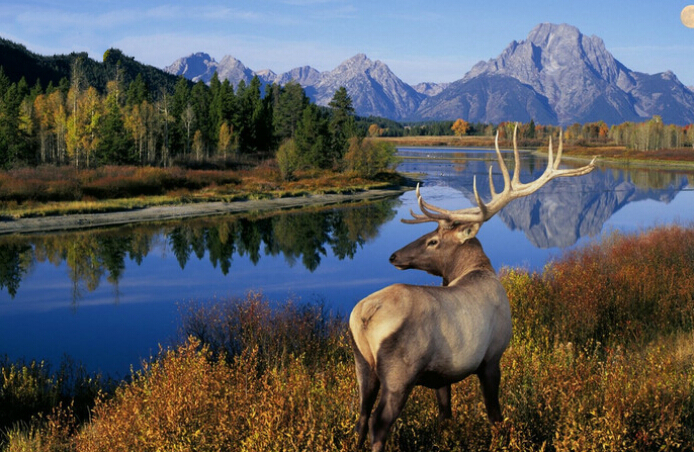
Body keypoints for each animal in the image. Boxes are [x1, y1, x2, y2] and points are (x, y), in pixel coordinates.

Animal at [350, 124, 596, 452]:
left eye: (433, 240)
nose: (393, 256)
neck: (478, 270)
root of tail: (365, 316)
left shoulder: (442, 375)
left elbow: (446, 414)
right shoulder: (492, 356)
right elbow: (495, 414)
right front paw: (502, 440)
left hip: (362, 364)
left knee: (361, 416)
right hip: (400, 372)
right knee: (379, 423)